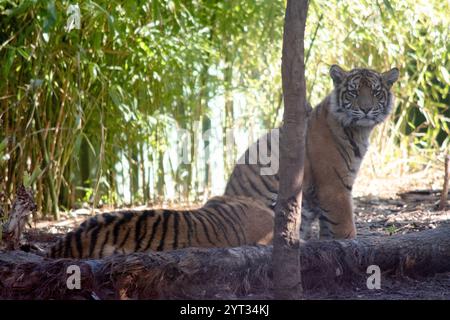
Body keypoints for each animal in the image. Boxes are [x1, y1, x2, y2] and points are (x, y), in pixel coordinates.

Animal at [225, 64, 400, 240]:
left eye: (376, 92)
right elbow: (345, 227)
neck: (359, 131)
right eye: (353, 92)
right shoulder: (334, 186)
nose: (366, 109)